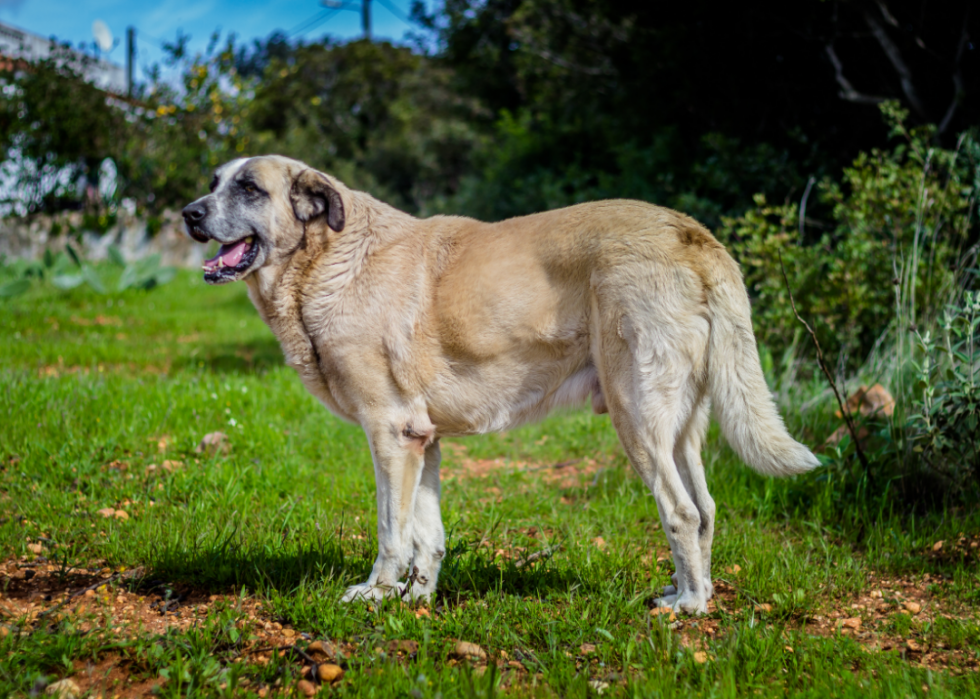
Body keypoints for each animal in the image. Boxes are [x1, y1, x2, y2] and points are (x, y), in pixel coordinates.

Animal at [184, 156, 820, 616]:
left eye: (249, 188)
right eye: (213, 183)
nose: (188, 213)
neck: (327, 258)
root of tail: (692, 232)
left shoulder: (389, 435)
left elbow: (392, 529)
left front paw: (376, 594)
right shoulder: (422, 440)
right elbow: (427, 532)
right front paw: (417, 599)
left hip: (636, 418)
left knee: (681, 512)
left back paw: (687, 606)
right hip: (681, 426)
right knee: (706, 509)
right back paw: (697, 592)